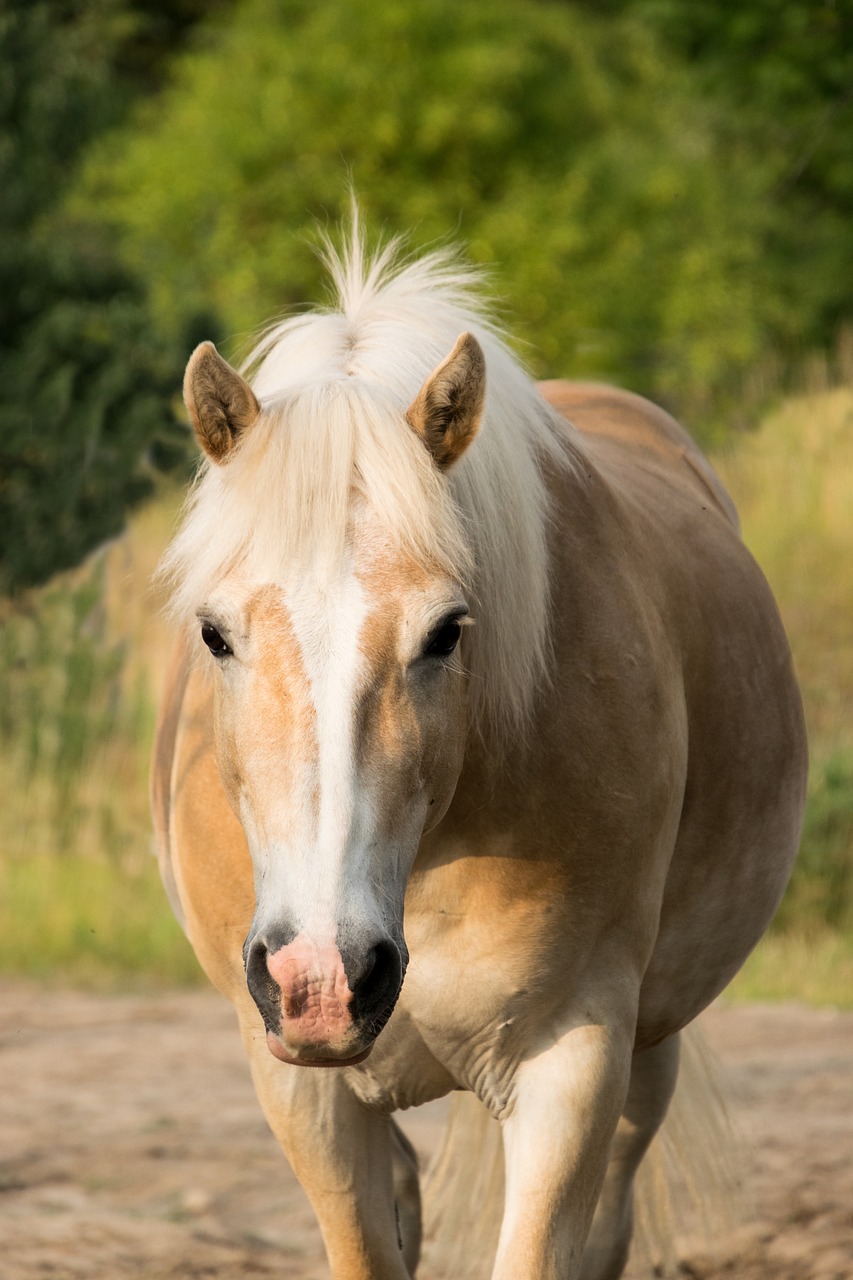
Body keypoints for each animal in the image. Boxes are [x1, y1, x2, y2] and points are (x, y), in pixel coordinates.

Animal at [149, 232, 809, 1280]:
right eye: (214, 633)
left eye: (446, 631)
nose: (325, 977)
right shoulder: (300, 1085)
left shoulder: (572, 1061)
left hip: (647, 1050)